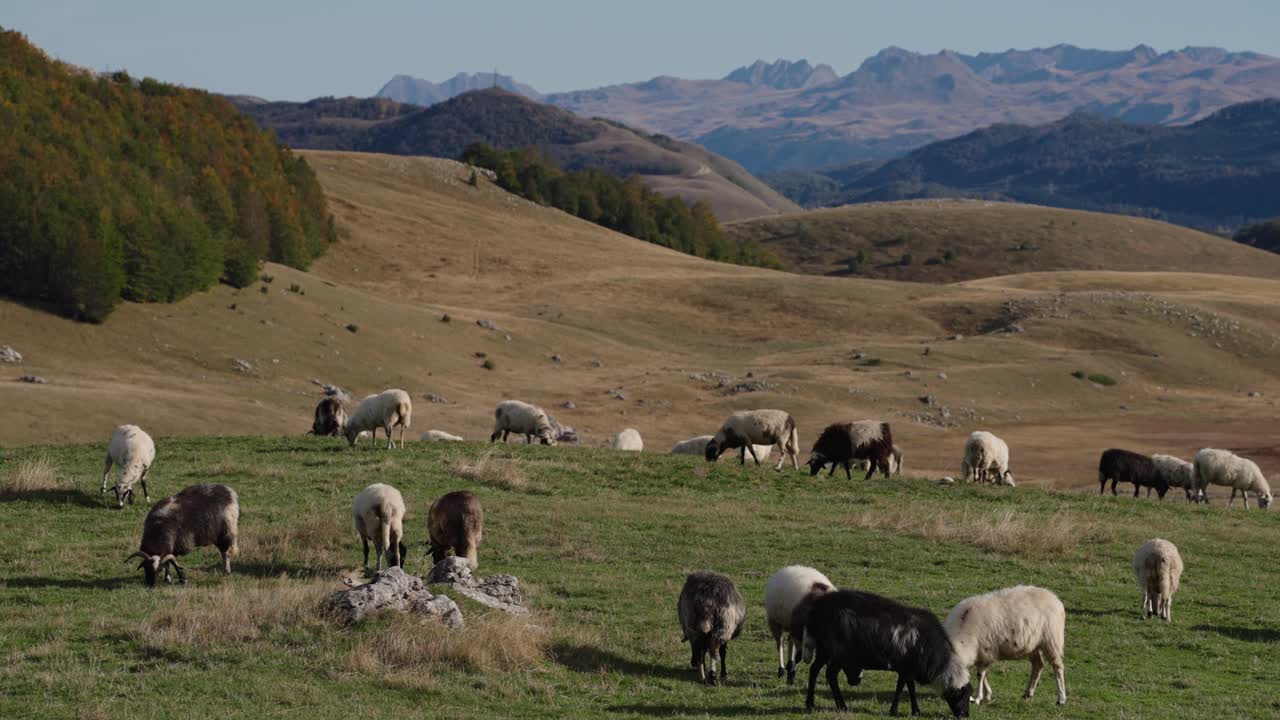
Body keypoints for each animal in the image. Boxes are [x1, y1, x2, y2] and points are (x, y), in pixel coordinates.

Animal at [792, 589, 971, 716]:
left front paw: (915, 710)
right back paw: (842, 706)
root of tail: (817, 609)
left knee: (814, 670)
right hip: (838, 653)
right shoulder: (906, 667)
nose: (965, 715)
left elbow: (909, 687)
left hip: (824, 650)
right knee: (830, 675)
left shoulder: (907, 668)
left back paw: (810, 704)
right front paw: (895, 710)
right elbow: (902, 687)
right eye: (961, 696)